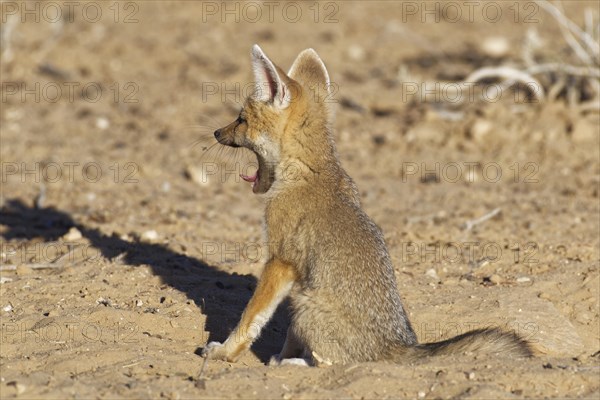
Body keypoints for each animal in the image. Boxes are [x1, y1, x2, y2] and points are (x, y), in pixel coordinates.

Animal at [203, 44, 536, 366]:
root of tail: (397, 344)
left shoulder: (280, 260)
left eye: (241, 118)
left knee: (331, 362)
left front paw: (225, 352)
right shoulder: (296, 271)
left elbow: (251, 317)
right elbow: (287, 335)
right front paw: (279, 355)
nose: (216, 132)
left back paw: (295, 365)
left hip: (303, 301)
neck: (310, 171)